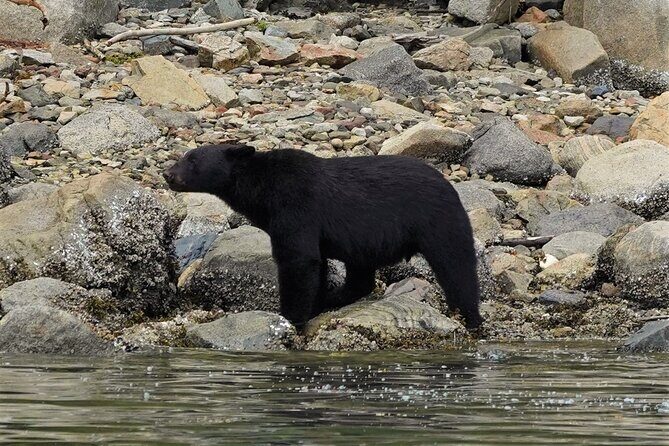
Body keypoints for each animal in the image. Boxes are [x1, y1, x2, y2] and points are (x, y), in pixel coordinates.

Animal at [164, 144, 482, 329]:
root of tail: (450, 185)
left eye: (192, 160)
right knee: (360, 276)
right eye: (184, 156)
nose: (168, 174)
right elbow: (315, 265)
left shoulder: (295, 206)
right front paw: (314, 304)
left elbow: (298, 260)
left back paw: (470, 317)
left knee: (457, 267)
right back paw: (334, 298)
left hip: (438, 221)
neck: (262, 188)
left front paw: (290, 317)